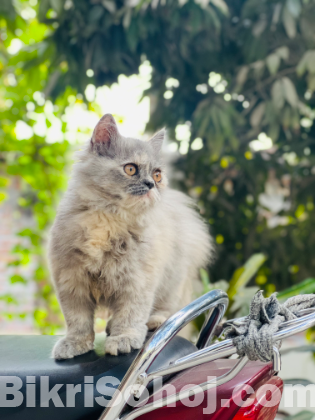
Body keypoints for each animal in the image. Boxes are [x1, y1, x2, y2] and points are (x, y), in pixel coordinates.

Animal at [49, 113, 214, 360]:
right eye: (130, 169)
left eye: (157, 174)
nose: (151, 184)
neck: (109, 219)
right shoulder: (71, 280)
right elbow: (78, 321)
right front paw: (74, 344)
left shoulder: (137, 281)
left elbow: (130, 315)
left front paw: (123, 340)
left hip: (172, 280)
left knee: (168, 309)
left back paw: (154, 322)